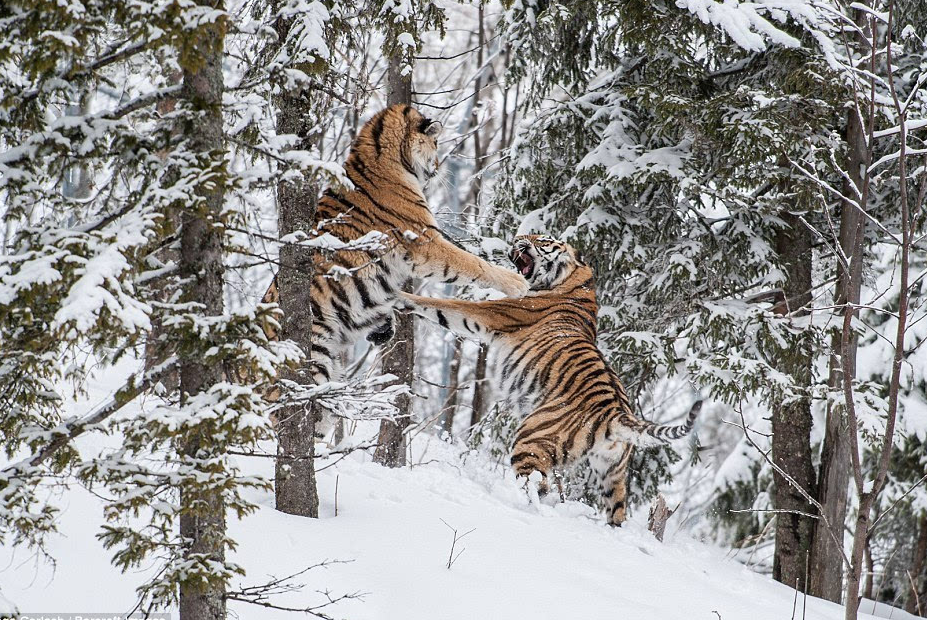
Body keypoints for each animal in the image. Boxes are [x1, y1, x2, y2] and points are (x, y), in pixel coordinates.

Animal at [260, 104, 528, 436]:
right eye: (436, 143)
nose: (438, 166)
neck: (380, 155)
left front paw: (384, 326)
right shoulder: (425, 240)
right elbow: (469, 262)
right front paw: (515, 282)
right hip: (315, 358)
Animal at [402, 235, 700, 524]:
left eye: (541, 239)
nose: (517, 238)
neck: (578, 282)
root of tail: (616, 412)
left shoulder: (493, 312)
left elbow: (444, 306)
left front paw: (401, 295)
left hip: (531, 439)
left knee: (536, 486)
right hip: (612, 472)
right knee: (615, 511)